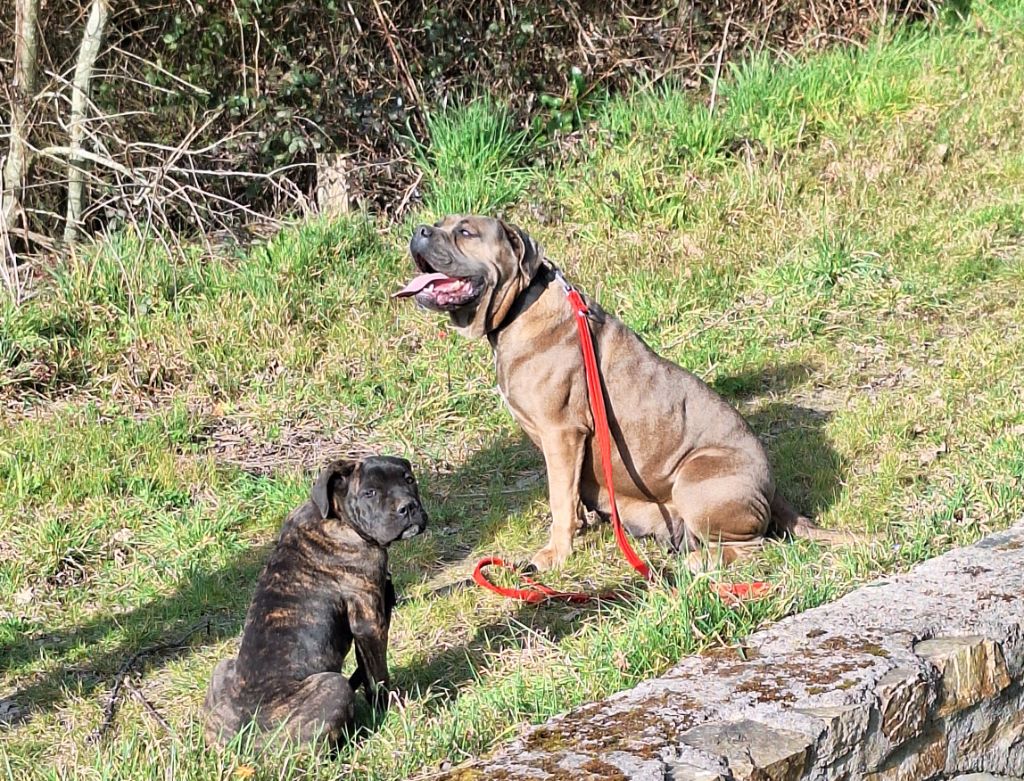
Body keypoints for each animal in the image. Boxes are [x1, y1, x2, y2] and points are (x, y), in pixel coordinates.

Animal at [201, 458, 425, 753]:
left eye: (409, 479)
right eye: (370, 493)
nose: (408, 507)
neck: (337, 518)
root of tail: (242, 744)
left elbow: (366, 670)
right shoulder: (369, 624)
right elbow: (378, 675)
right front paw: (387, 709)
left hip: (223, 669)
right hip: (333, 686)